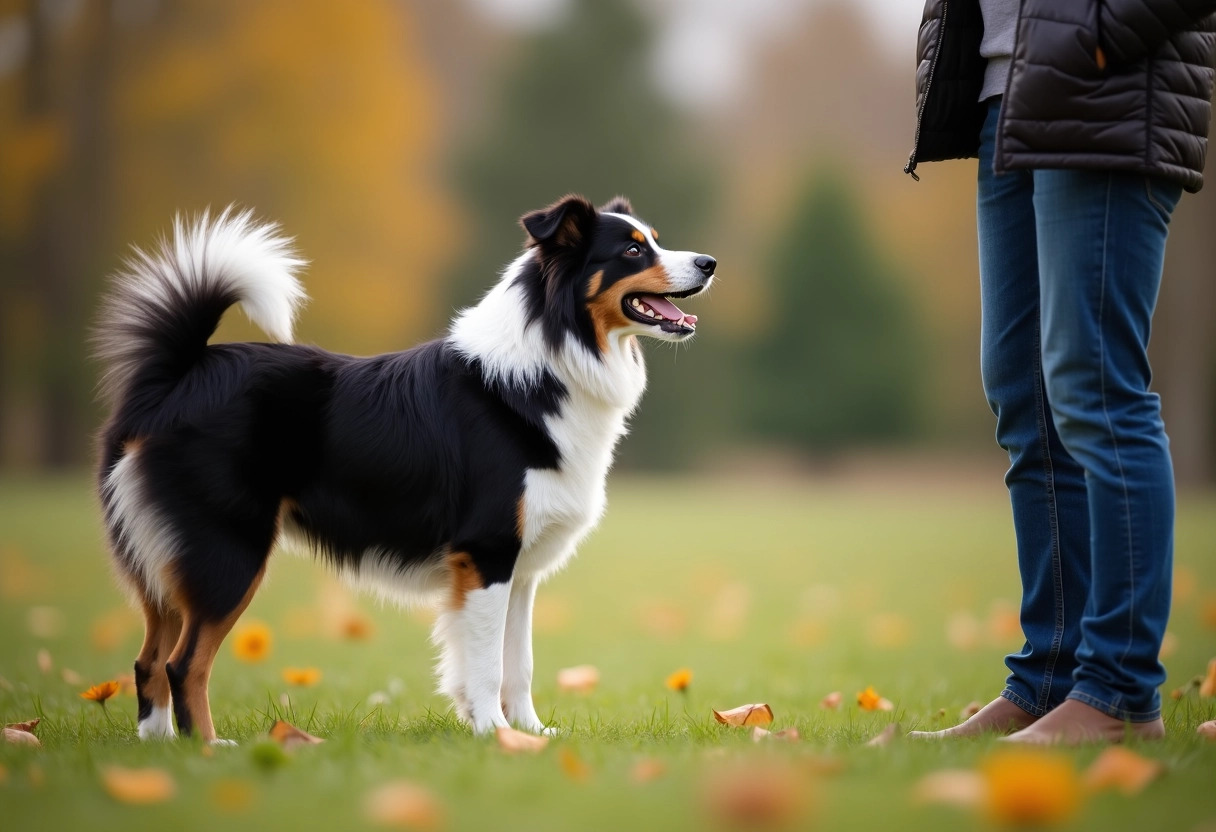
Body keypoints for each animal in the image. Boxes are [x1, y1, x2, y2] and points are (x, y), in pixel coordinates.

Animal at [94, 193, 710, 739]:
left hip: (168, 566)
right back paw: (208, 748)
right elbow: (487, 663)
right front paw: (494, 734)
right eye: (632, 251)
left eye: (654, 241)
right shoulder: (486, 553)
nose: (709, 263)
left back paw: (163, 748)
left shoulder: (520, 569)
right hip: (228, 553)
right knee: (183, 664)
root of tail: (176, 374)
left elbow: (519, 661)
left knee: (147, 662)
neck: (550, 359)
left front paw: (530, 734)